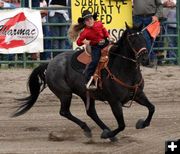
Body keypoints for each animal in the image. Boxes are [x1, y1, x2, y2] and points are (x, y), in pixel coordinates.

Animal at [12, 24, 155, 141]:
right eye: (132, 39)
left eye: (143, 37)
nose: (145, 58)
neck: (122, 68)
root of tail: (50, 63)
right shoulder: (114, 102)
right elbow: (122, 125)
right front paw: (107, 135)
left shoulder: (138, 95)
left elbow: (152, 108)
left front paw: (142, 123)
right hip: (65, 94)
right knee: (65, 112)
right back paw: (90, 129)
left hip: (85, 93)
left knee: (91, 112)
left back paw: (105, 131)